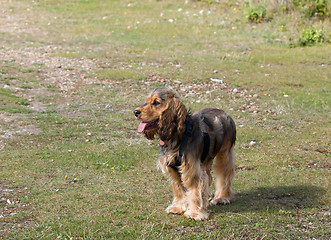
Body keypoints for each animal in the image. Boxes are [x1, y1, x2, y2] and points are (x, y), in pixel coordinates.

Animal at [134, 87, 237, 220]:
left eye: (156, 102)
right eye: (146, 101)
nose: (135, 112)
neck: (177, 136)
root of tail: (225, 113)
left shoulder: (192, 169)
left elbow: (195, 190)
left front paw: (194, 213)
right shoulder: (173, 169)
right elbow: (179, 189)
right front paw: (178, 207)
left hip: (224, 153)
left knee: (225, 173)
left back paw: (222, 197)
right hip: (206, 159)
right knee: (208, 176)